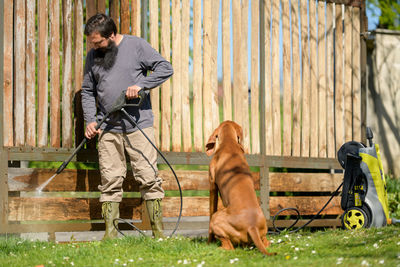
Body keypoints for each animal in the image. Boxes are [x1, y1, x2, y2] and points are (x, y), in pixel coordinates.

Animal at [206, 121, 276, 255]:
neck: (229, 143)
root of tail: (252, 226)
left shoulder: (212, 184)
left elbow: (211, 210)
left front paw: (209, 241)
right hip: (263, 231)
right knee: (266, 242)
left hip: (217, 218)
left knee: (229, 247)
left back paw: (217, 248)